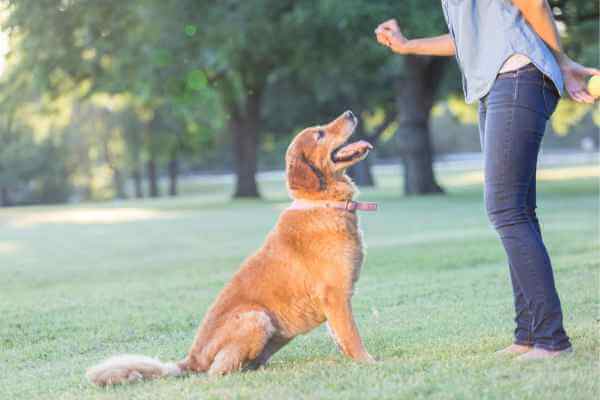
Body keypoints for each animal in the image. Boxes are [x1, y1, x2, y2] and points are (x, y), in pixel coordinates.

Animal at [86, 111, 378, 386]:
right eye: (319, 134)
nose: (350, 113)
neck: (323, 203)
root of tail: (191, 359)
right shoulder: (335, 296)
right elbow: (352, 336)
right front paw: (368, 362)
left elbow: (340, 337)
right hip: (256, 317)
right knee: (218, 371)